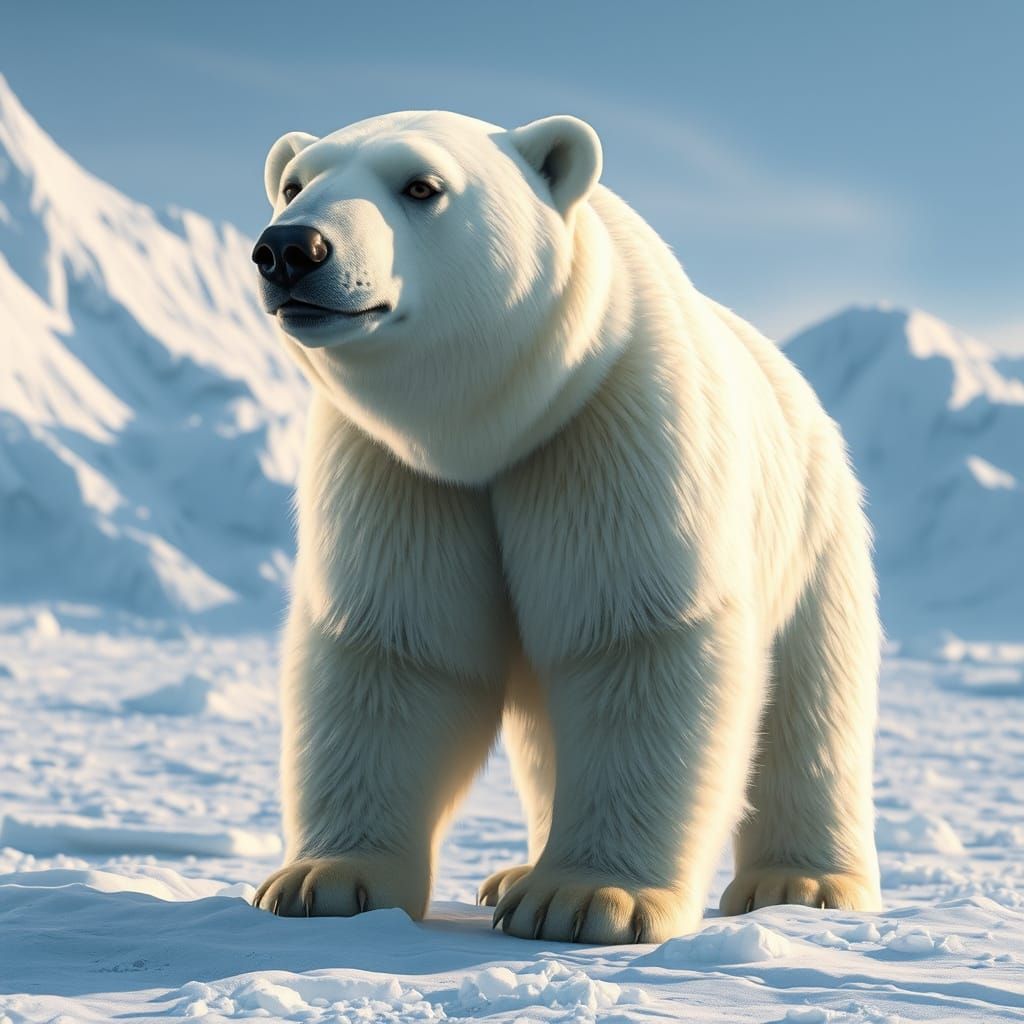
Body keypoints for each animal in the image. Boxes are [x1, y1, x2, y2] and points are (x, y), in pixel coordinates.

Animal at [250, 111, 882, 944]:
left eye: (421, 185)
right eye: (294, 184)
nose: (292, 248)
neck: (491, 429)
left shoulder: (607, 428)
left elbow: (633, 638)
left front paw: (586, 900)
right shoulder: (399, 475)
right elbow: (395, 650)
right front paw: (322, 880)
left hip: (812, 529)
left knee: (811, 705)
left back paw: (804, 882)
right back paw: (512, 872)